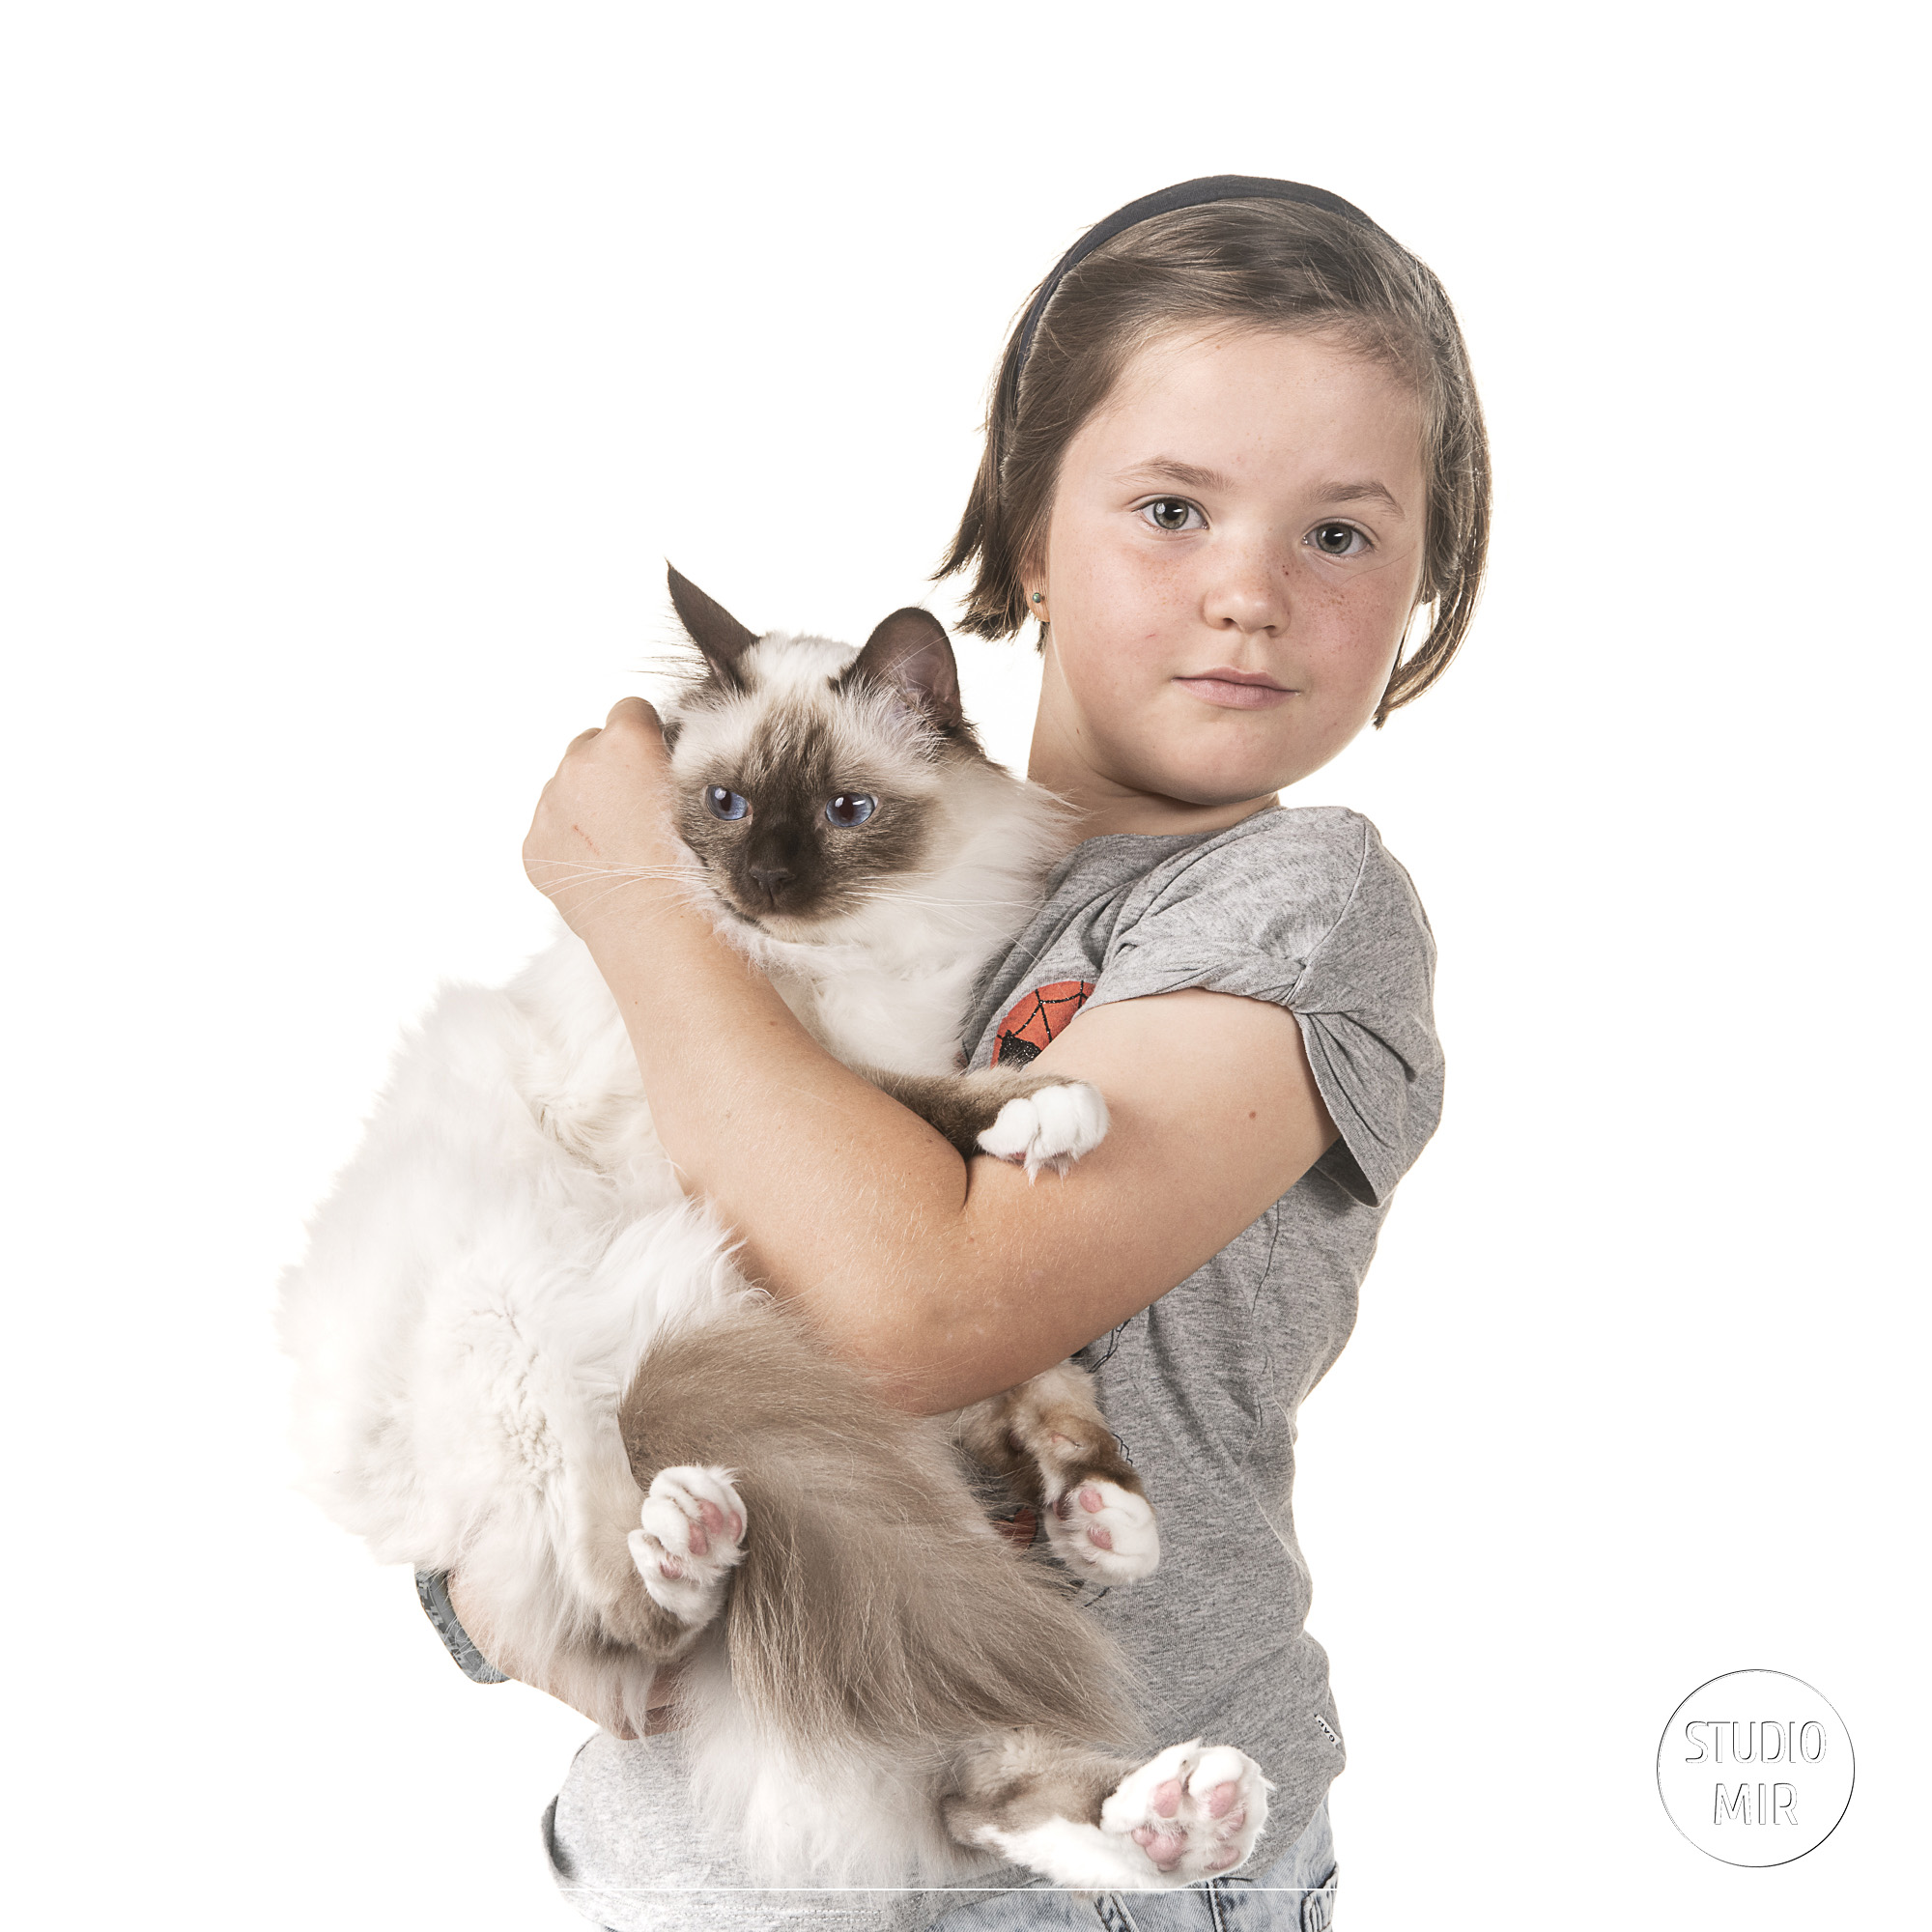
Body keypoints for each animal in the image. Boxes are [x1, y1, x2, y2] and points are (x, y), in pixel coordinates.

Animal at [272, 568, 1267, 1886]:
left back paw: (1181, 1810)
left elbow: (1051, 1390)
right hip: (550, 1345)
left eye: (845, 811)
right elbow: (933, 1100)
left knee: (976, 1787)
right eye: (727, 804)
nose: (763, 884)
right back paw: (689, 1543)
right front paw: (1049, 1108)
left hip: (866, 1454)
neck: (846, 965)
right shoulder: (785, 1113)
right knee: (626, 1619)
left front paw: (1106, 1521)